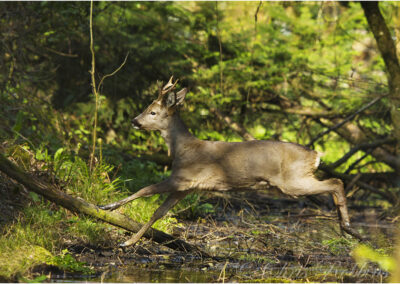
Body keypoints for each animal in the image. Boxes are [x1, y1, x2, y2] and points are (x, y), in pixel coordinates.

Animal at [100, 77, 354, 246]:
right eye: (146, 108)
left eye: (152, 112)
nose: (134, 121)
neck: (182, 149)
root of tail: (316, 155)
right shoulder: (185, 188)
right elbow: (158, 213)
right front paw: (129, 241)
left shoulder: (181, 178)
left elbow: (144, 189)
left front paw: (108, 207)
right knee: (336, 183)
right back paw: (345, 226)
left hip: (292, 181)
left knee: (336, 182)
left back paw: (347, 225)